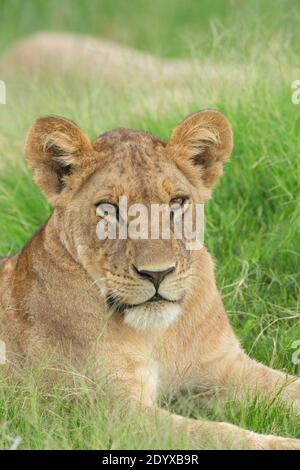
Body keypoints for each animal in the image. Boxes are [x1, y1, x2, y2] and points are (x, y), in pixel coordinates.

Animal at [0, 108, 300, 450]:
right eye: (108, 209)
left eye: (177, 203)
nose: (157, 273)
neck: (159, 335)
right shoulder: (103, 415)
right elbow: (216, 434)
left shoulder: (221, 366)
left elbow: (289, 387)